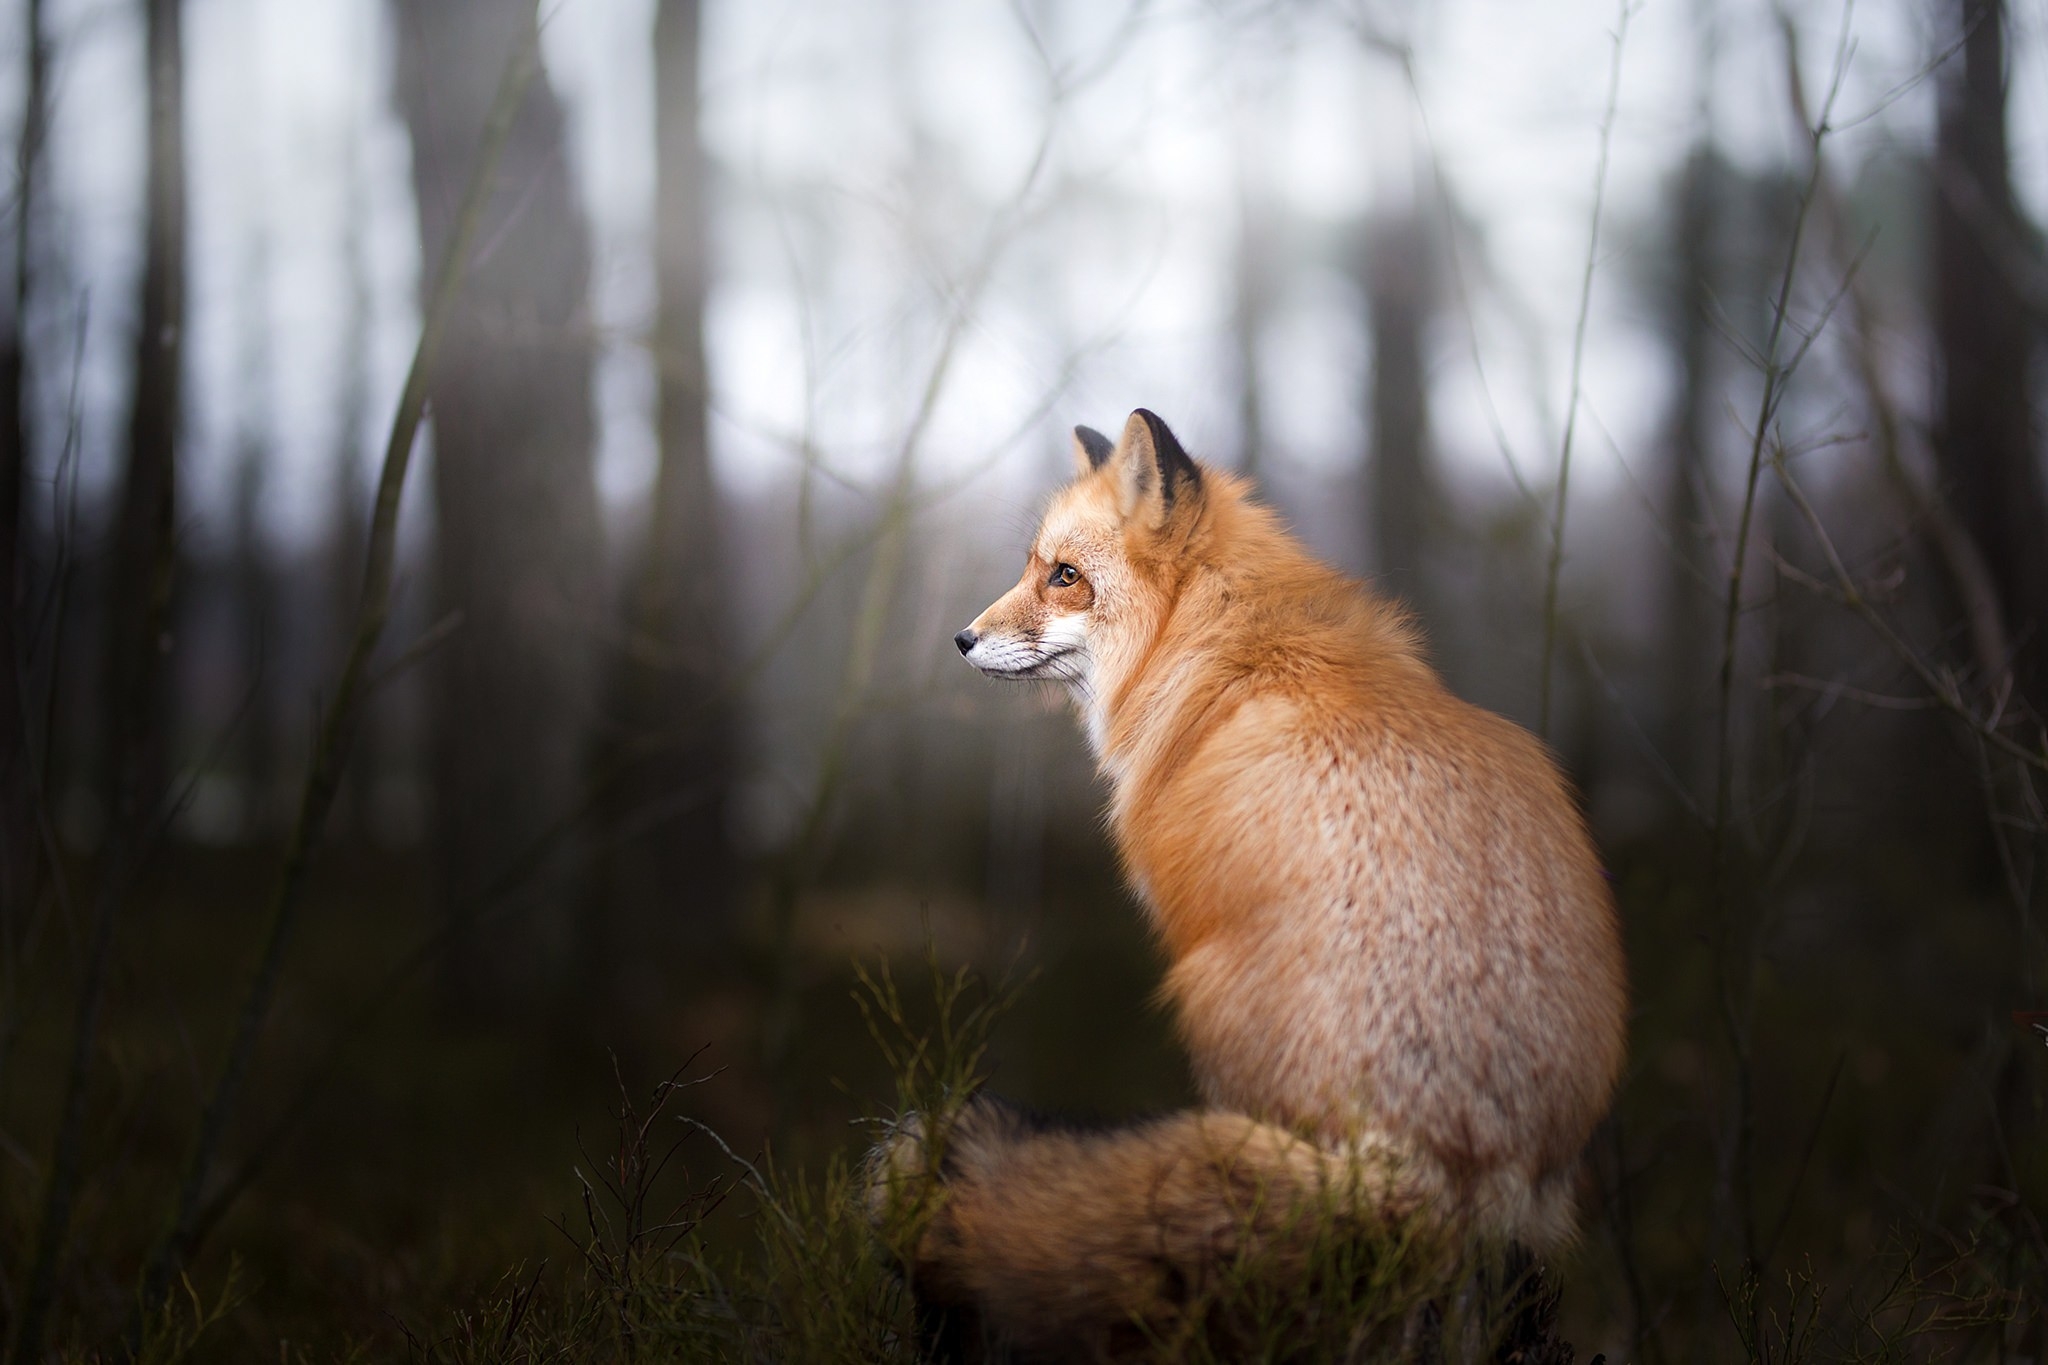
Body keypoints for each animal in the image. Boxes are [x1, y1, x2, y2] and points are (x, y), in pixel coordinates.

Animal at [880, 405, 1630, 1358]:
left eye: (1064, 577)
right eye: (1035, 568)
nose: (962, 638)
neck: (1225, 645)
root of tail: (1446, 1140)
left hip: (1206, 1005)